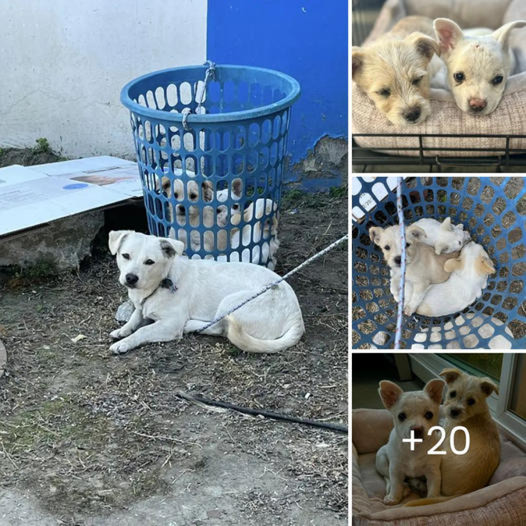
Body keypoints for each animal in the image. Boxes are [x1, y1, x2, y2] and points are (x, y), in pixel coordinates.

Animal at [107, 231, 306, 354]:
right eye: (125, 256)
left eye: (149, 262)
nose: (130, 278)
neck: (161, 282)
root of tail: (297, 316)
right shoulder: (142, 307)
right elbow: (135, 317)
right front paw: (122, 330)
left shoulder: (171, 325)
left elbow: (143, 330)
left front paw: (124, 343)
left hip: (229, 302)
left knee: (218, 328)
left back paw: (192, 325)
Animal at [378, 380, 448, 508]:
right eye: (401, 416)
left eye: (429, 415)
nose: (416, 429)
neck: (414, 447)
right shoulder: (395, 469)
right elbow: (395, 484)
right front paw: (394, 497)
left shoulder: (433, 472)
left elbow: (434, 487)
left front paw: (431, 499)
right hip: (381, 461)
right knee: (388, 477)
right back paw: (403, 489)